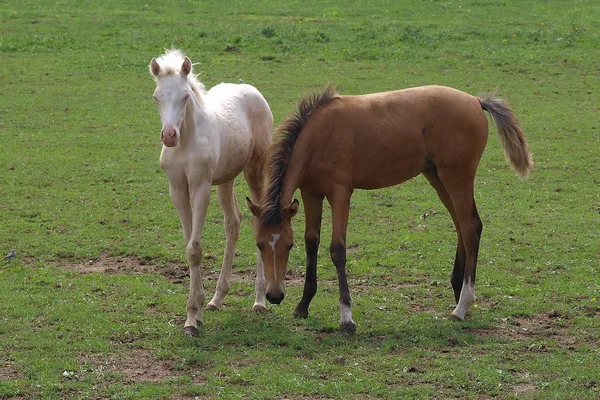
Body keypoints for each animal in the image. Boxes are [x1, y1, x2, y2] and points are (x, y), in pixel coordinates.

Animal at [149, 50, 274, 338]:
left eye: (185, 96)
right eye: (157, 96)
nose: (169, 136)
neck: (186, 142)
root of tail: (251, 89)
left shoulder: (201, 188)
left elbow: (194, 249)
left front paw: (192, 318)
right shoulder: (177, 191)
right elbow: (188, 246)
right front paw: (196, 312)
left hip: (254, 171)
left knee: (257, 218)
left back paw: (259, 300)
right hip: (226, 179)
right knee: (233, 222)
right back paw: (218, 298)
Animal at [246, 85, 532, 334]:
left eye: (287, 246)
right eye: (259, 244)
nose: (274, 295)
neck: (318, 135)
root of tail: (475, 100)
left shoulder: (340, 193)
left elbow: (337, 249)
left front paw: (347, 318)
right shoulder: (311, 193)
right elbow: (311, 242)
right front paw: (303, 305)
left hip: (456, 176)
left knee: (471, 228)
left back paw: (462, 306)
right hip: (437, 176)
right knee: (463, 225)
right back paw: (457, 293)